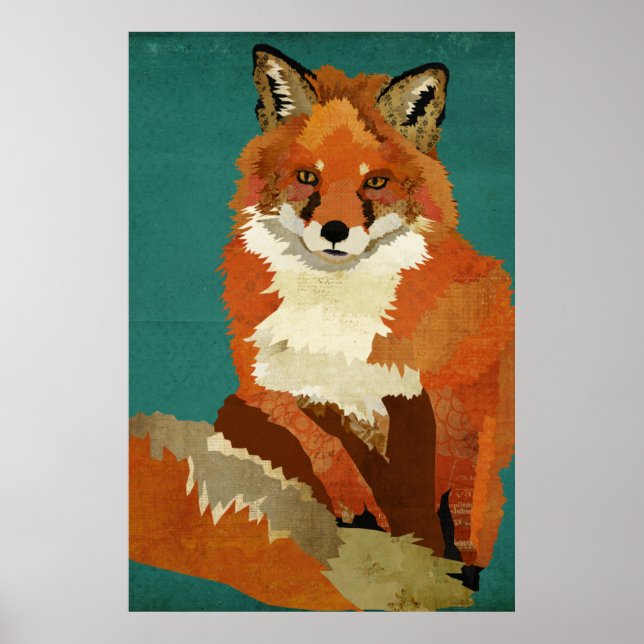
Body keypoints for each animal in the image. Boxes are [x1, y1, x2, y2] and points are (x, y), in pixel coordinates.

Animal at [214, 45, 515, 574]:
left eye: (375, 182)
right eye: (307, 177)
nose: (335, 231)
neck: (336, 325)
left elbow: (435, 503)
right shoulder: (280, 393)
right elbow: (320, 460)